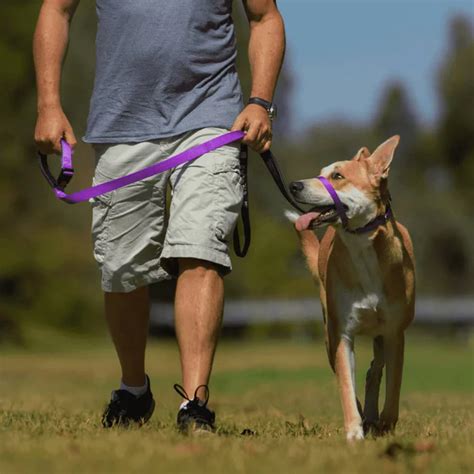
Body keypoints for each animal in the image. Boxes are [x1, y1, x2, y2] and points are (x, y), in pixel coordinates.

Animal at [286, 136, 414, 440]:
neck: (363, 246)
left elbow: (394, 386)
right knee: (345, 371)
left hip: (380, 335)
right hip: (327, 330)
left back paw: (373, 415)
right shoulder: (341, 332)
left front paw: (386, 425)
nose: (294, 185)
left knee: (375, 369)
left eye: (338, 176)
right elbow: (345, 380)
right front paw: (355, 432)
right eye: (321, 172)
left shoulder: (395, 333)